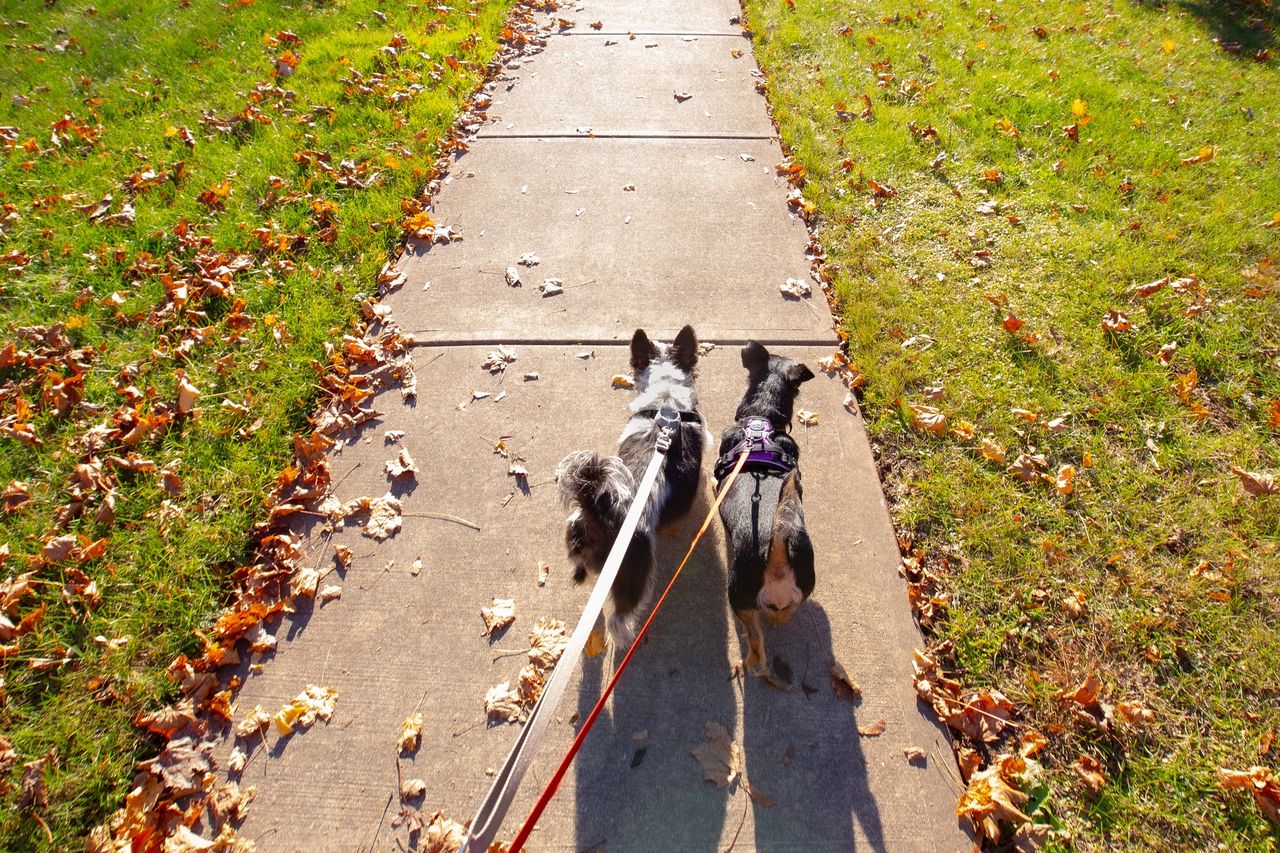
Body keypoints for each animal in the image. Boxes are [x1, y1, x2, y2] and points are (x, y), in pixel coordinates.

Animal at [555, 325, 706, 645]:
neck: (665, 402)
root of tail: (598, 516)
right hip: (637, 574)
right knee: (618, 618)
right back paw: (625, 637)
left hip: (578, 539)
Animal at [716, 340, 814, 676]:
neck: (762, 420)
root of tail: (778, 550)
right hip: (800, 589)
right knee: (783, 614)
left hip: (738, 597)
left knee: (757, 645)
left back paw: (749, 664)